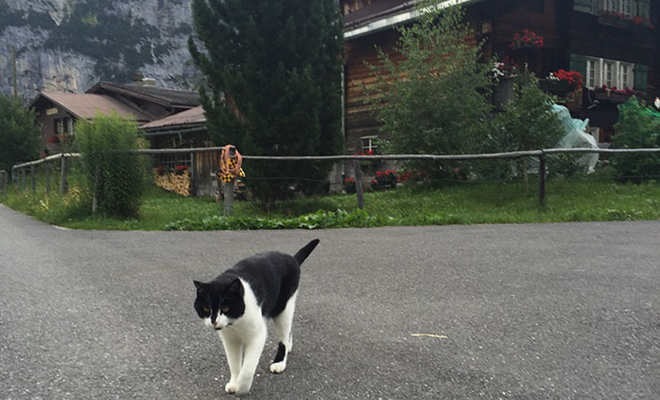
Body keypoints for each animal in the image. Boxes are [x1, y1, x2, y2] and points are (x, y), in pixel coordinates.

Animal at [193, 239, 320, 396]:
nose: (214, 321)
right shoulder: (230, 340)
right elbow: (234, 363)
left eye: (226, 308)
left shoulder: (257, 336)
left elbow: (247, 368)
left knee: (283, 336)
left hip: (283, 308)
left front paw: (242, 387)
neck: (235, 323)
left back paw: (279, 362)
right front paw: (234, 383)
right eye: (206, 308)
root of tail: (292, 258)